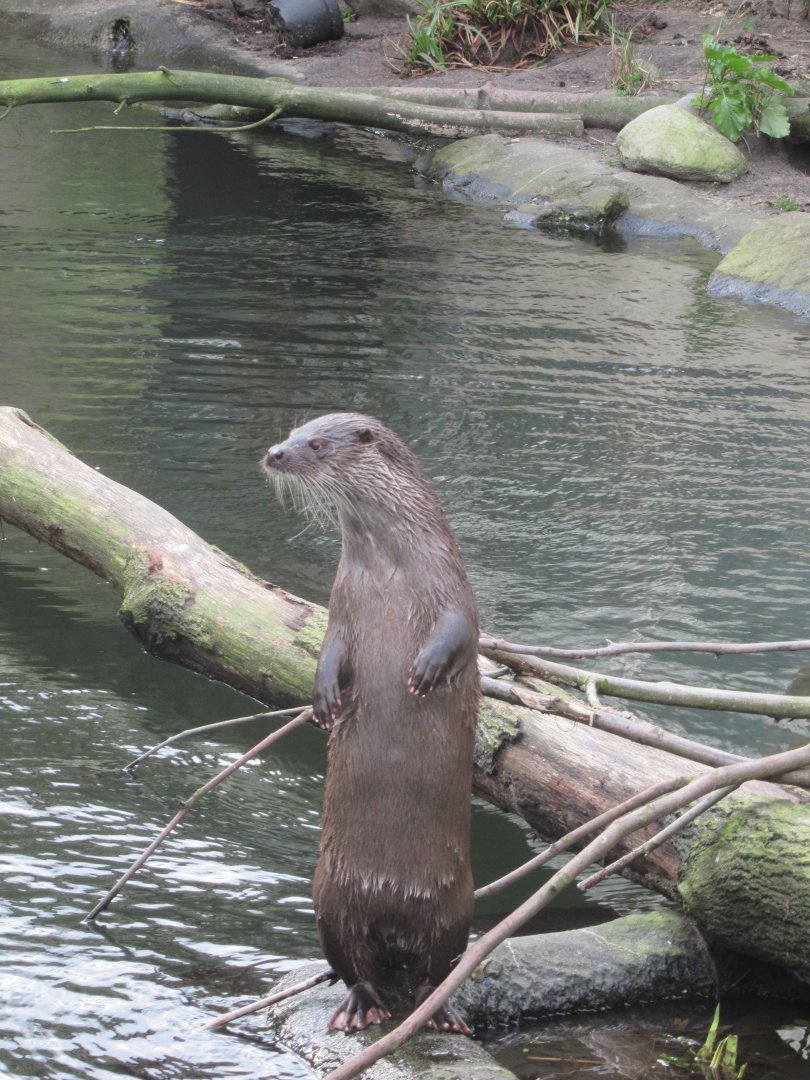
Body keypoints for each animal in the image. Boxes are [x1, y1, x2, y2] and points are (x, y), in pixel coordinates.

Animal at [263, 413, 479, 1035]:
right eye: (292, 431)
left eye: (315, 443)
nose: (275, 453)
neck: (389, 571)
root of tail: (390, 907)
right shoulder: (340, 601)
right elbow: (329, 649)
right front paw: (324, 701)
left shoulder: (454, 585)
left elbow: (462, 629)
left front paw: (427, 669)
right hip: (328, 897)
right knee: (352, 963)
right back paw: (363, 1004)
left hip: (459, 906)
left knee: (438, 966)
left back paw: (439, 1010)